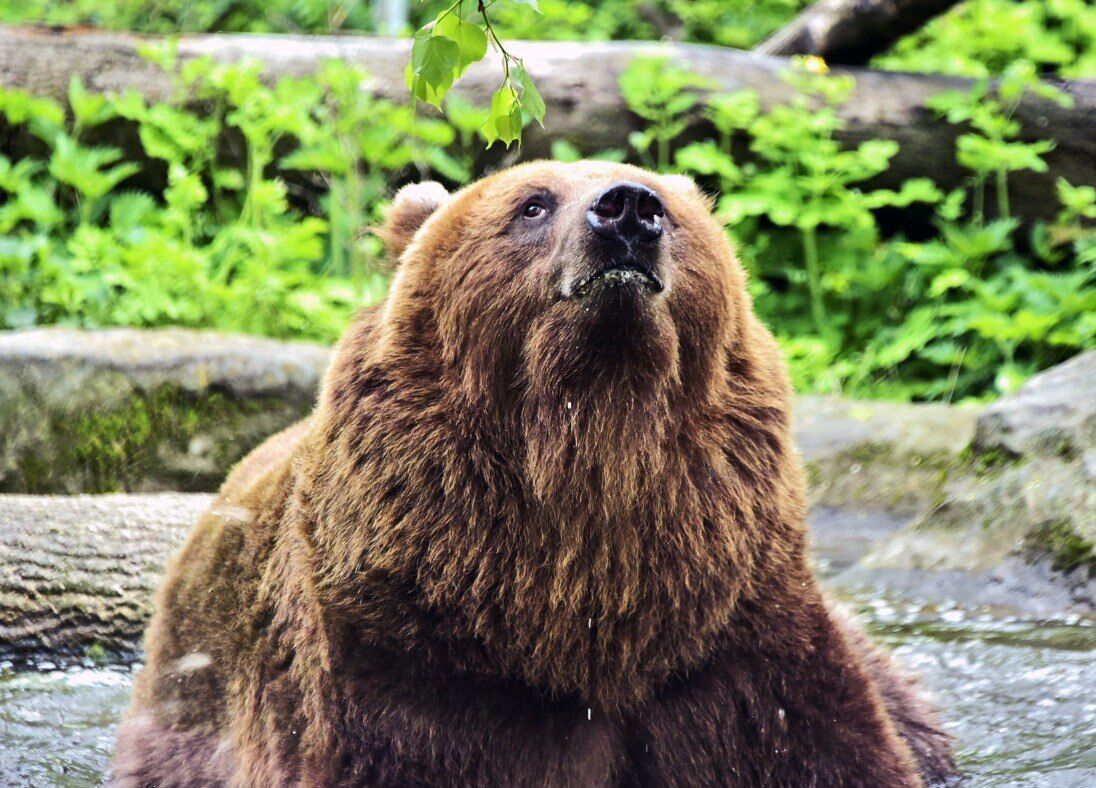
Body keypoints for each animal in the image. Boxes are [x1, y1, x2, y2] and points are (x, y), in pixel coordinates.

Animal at [109, 162, 951, 788]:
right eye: (533, 203)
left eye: (672, 211)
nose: (627, 210)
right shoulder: (415, 670)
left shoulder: (735, 651)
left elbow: (822, 745)